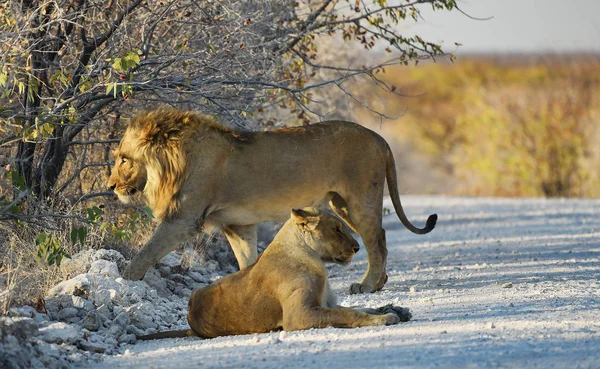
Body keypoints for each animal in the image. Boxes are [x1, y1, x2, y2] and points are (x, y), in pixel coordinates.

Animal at [108, 107, 436, 294]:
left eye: (124, 159)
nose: (110, 186)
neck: (172, 162)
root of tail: (379, 138)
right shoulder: (238, 225)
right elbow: (246, 261)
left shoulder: (183, 219)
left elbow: (145, 253)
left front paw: (124, 281)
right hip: (340, 203)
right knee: (380, 238)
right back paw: (379, 282)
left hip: (359, 198)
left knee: (376, 241)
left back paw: (367, 285)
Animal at [140, 208, 410, 338]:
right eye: (336, 228)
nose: (356, 247)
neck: (313, 257)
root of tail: (191, 322)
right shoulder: (299, 316)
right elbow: (349, 315)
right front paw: (386, 318)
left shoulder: (325, 303)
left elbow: (359, 308)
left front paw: (394, 309)